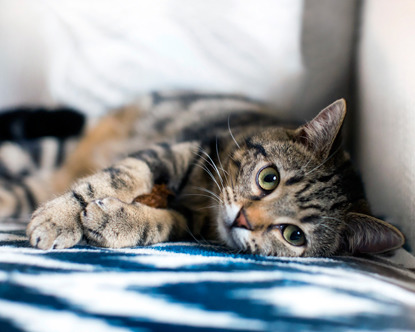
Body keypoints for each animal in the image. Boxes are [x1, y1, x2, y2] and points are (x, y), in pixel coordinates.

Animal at [3, 92, 406, 258]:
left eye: (294, 235)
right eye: (269, 178)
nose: (243, 219)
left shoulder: (188, 220)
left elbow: (160, 224)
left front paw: (116, 221)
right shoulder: (178, 150)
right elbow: (116, 177)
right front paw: (59, 218)